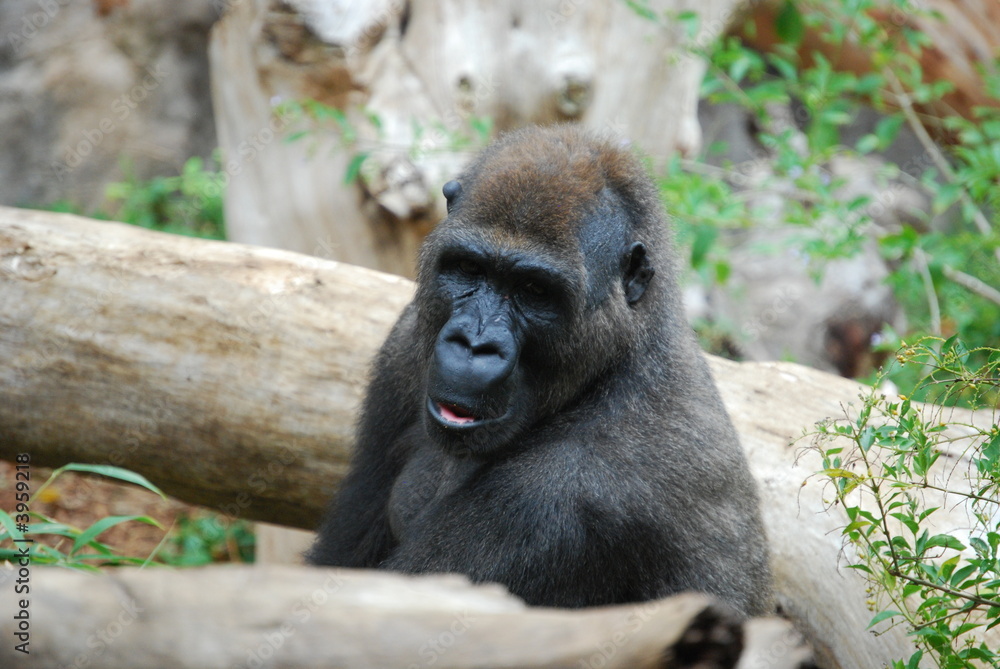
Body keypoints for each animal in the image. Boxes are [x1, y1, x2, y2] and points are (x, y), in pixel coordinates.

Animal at [307, 125, 773, 617]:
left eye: (534, 290)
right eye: (468, 268)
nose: (474, 346)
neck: (617, 361)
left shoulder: (570, 491)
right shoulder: (403, 347)